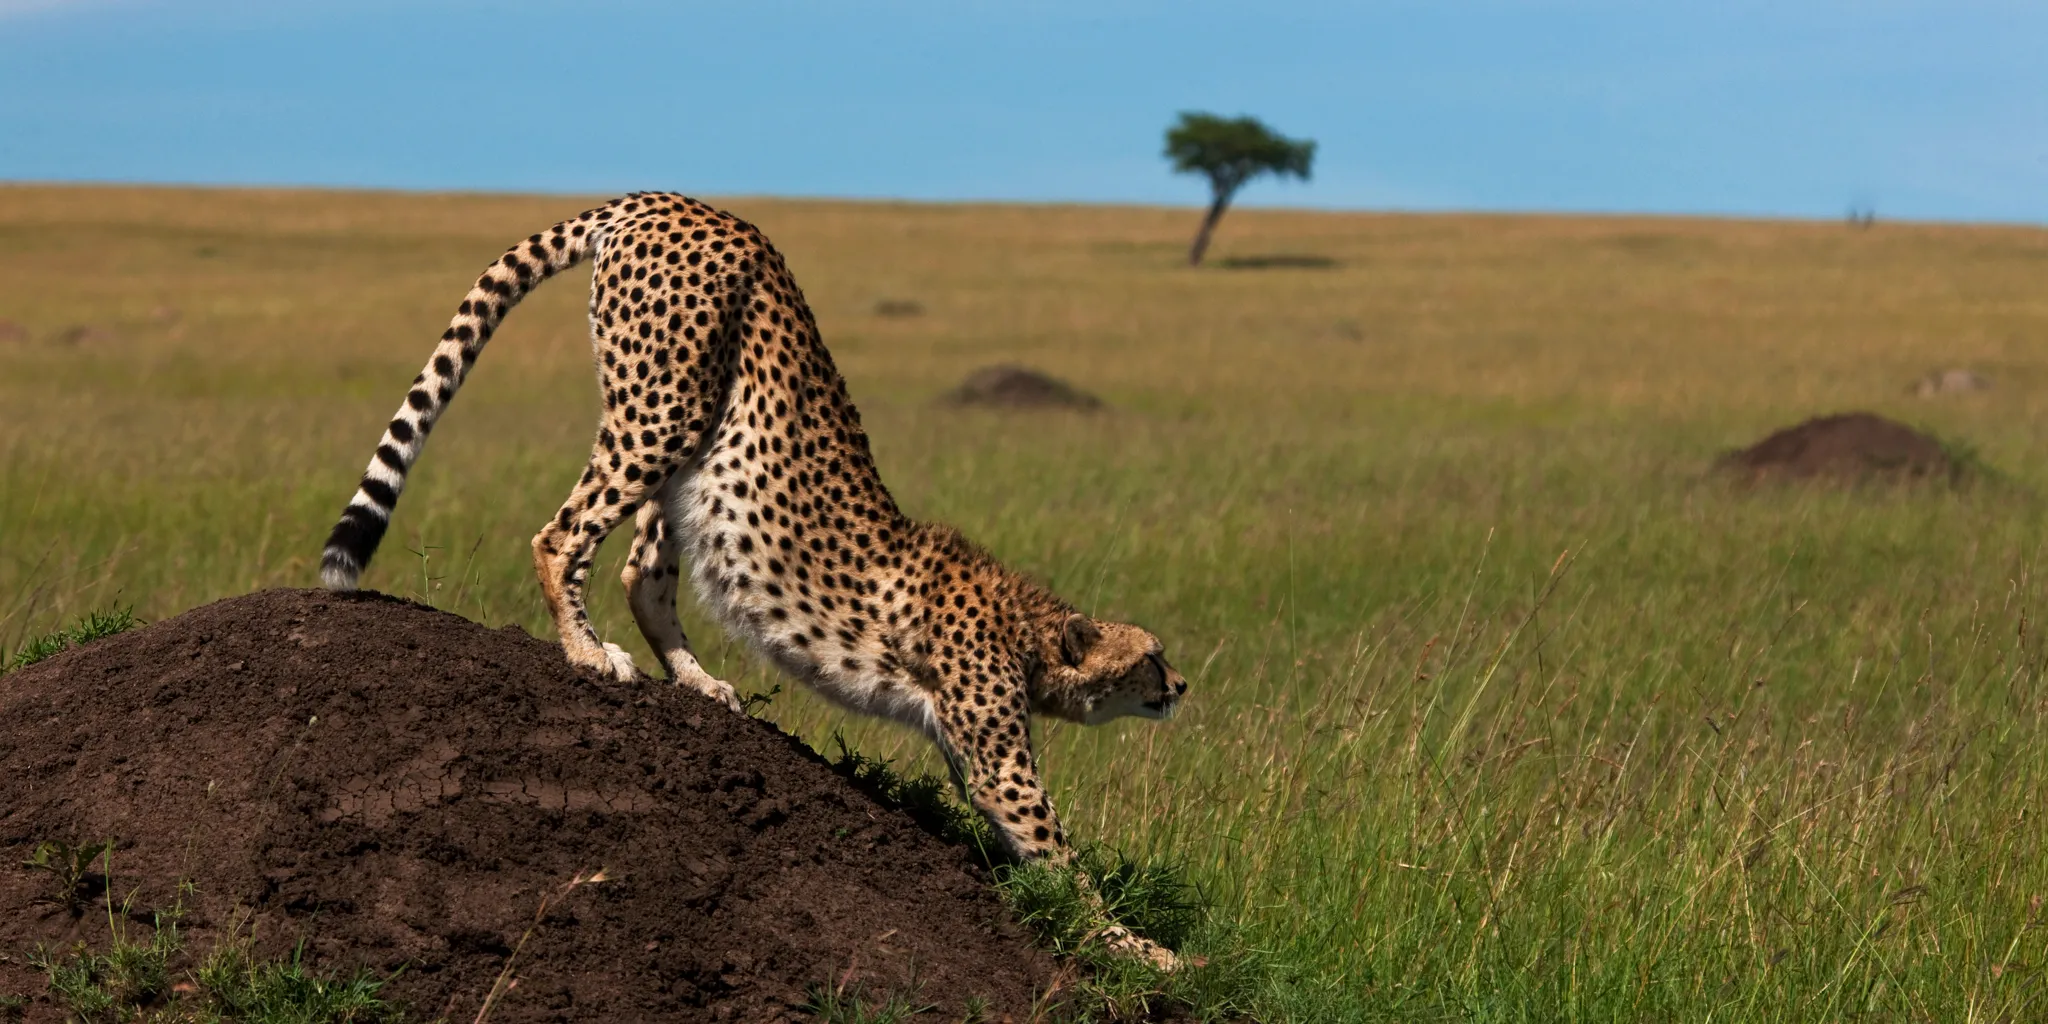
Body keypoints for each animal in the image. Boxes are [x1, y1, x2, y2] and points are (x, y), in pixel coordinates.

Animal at [313, 197, 1196, 958]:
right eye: (1152, 657)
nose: (1184, 687)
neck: (1029, 630)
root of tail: (670, 199)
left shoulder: (966, 745)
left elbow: (1027, 846)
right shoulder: (999, 760)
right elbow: (1055, 847)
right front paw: (1141, 951)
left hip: (698, 434)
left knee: (643, 569)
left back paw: (696, 679)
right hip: (663, 407)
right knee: (563, 535)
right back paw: (587, 652)